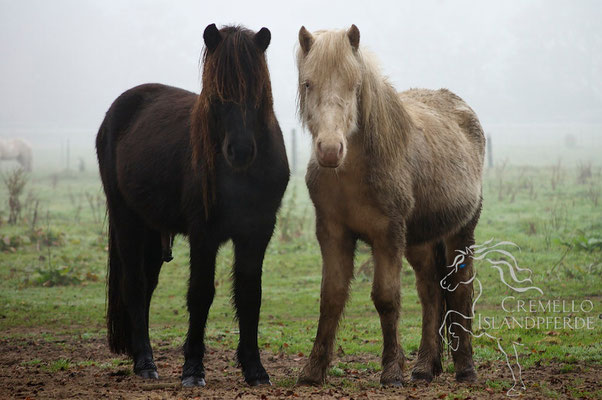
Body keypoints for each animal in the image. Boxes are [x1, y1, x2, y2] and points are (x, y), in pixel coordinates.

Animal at [96, 23, 288, 386]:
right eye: (215, 94)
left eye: (257, 91)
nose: (241, 151)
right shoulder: (203, 235)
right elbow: (200, 295)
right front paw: (193, 369)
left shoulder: (257, 233)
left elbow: (249, 295)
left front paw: (255, 369)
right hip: (127, 221)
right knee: (135, 286)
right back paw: (145, 362)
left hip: (152, 230)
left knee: (147, 287)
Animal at [296, 25, 482, 388]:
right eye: (308, 83)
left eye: (354, 85)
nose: (330, 150)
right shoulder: (332, 234)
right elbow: (331, 298)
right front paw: (313, 371)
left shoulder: (388, 236)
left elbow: (385, 299)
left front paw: (391, 372)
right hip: (420, 242)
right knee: (430, 292)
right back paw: (424, 367)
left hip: (459, 233)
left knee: (459, 290)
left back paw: (465, 367)